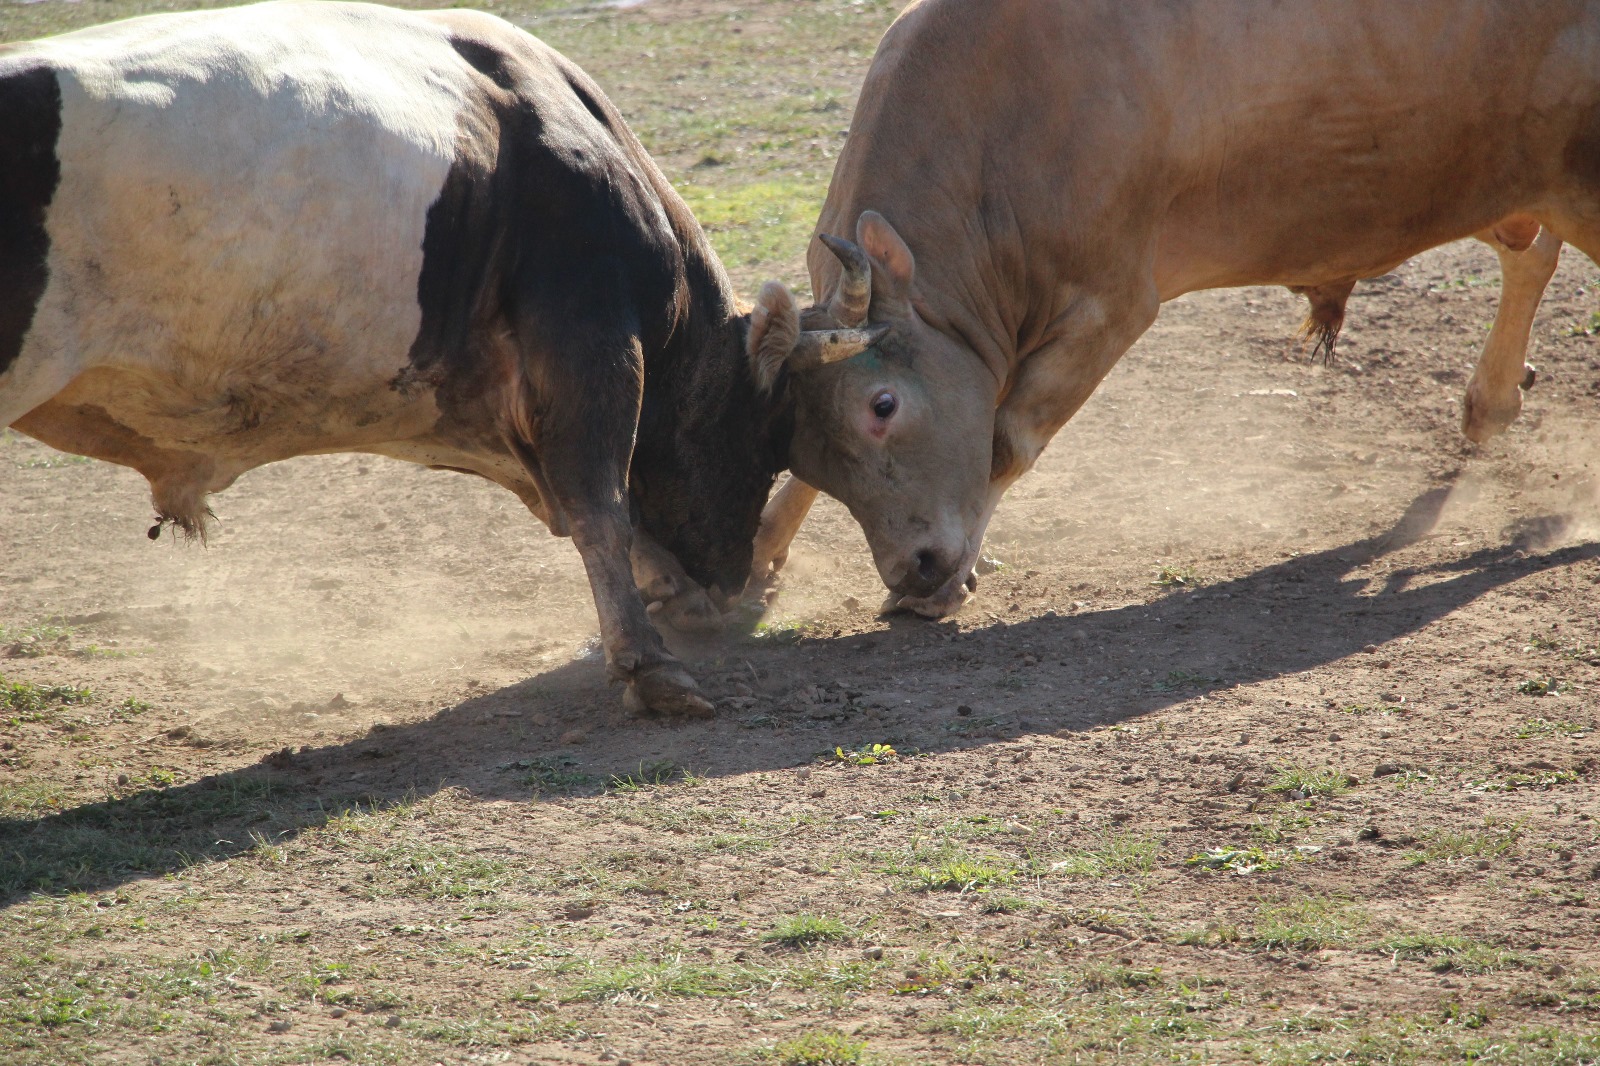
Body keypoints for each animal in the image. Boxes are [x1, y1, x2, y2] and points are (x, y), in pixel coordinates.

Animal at [0, 4, 870, 713]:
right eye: (767, 435)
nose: (729, 584)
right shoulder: (588, 339)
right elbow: (599, 503)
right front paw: (648, 665)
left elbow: (578, 502)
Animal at [752, 0, 1600, 614]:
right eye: (804, 448)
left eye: (884, 405)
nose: (918, 568)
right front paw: (763, 546)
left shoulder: (1110, 306)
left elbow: (1004, 440)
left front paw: (956, 577)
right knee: (1529, 251)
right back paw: (1491, 401)